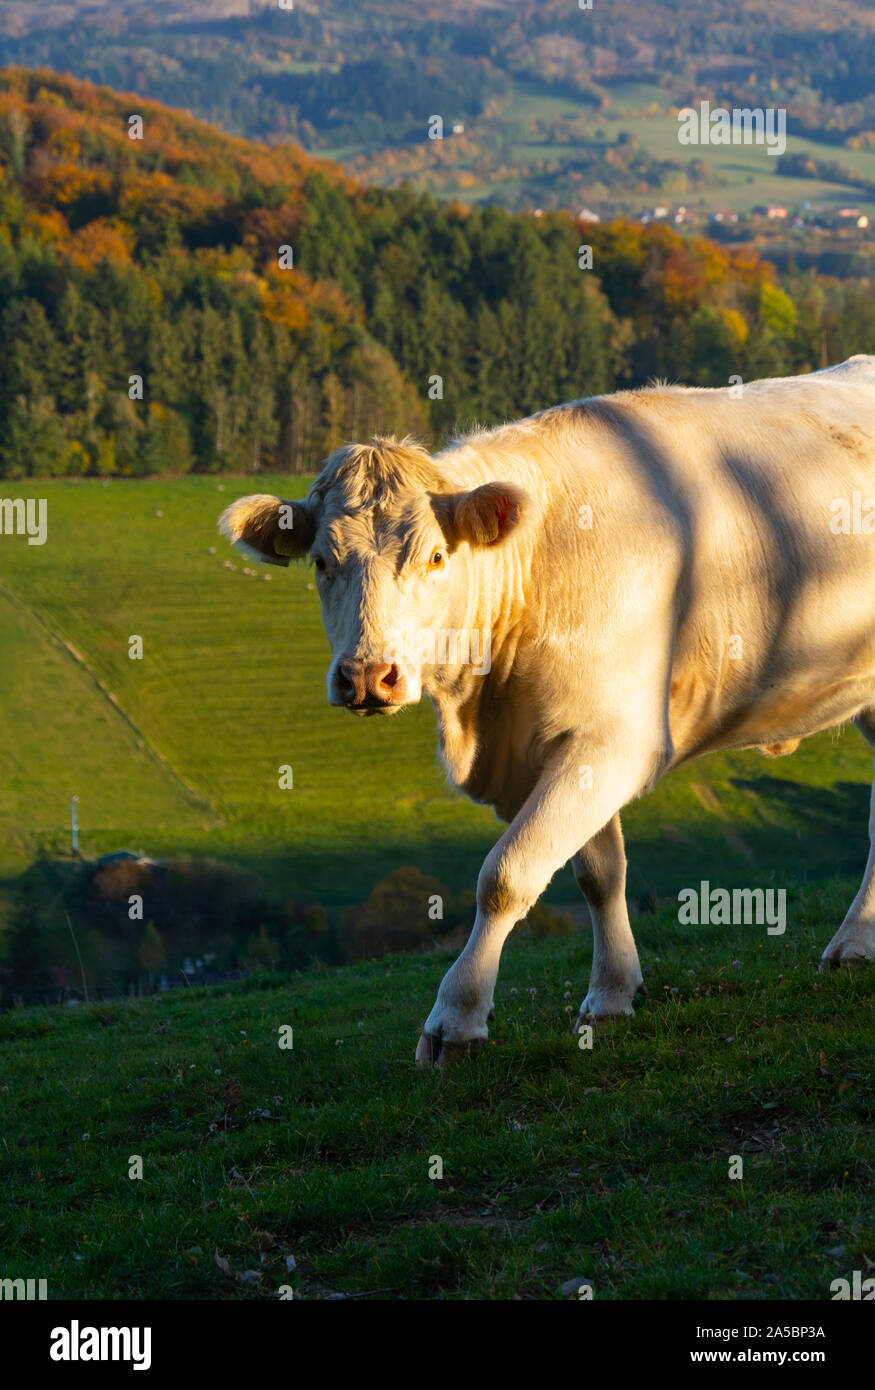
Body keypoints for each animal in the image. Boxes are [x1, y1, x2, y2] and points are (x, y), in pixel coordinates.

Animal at [219, 358, 875, 1061]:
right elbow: (599, 873)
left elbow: (506, 874)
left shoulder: (619, 740)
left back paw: (850, 944)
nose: (368, 676)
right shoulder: (565, 746)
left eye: (435, 556)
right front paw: (611, 995)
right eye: (321, 561)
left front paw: (455, 1019)